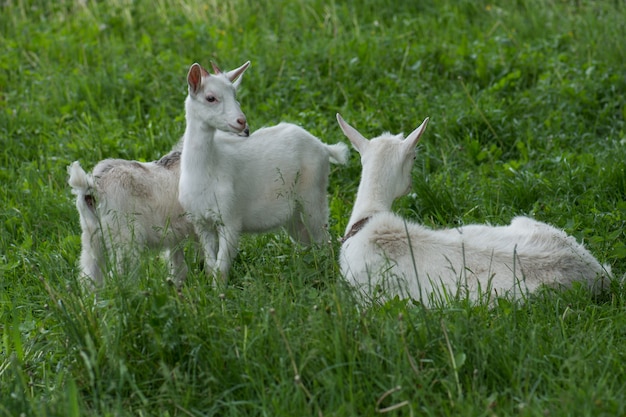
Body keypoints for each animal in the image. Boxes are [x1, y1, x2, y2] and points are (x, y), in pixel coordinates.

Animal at [67, 61, 249, 290]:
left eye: (235, 94)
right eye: (211, 98)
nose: (243, 124)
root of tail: (91, 187)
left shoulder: (175, 233)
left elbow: (178, 264)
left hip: (91, 237)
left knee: (89, 277)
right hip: (125, 238)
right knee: (119, 276)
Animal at [178, 61, 348, 284]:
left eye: (235, 94)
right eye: (210, 98)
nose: (242, 122)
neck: (207, 169)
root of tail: (323, 146)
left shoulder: (230, 219)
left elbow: (221, 268)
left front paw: (219, 291)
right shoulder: (201, 223)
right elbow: (209, 265)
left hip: (313, 195)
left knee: (323, 239)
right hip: (293, 213)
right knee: (306, 241)